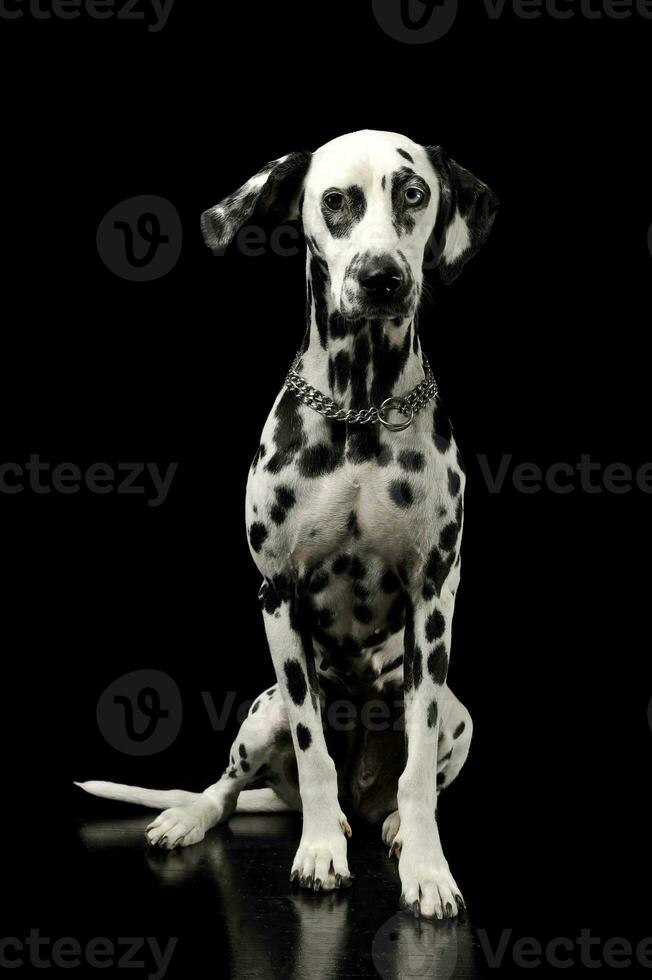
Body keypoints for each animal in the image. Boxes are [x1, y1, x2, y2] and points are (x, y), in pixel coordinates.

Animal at [76, 130, 496, 920]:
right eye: (335, 200)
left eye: (414, 193)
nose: (382, 278)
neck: (361, 407)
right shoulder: (278, 598)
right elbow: (312, 748)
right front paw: (320, 852)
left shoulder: (434, 602)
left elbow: (418, 769)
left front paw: (427, 867)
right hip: (261, 709)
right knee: (230, 786)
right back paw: (208, 816)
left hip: (459, 713)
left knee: (407, 774)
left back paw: (390, 825)